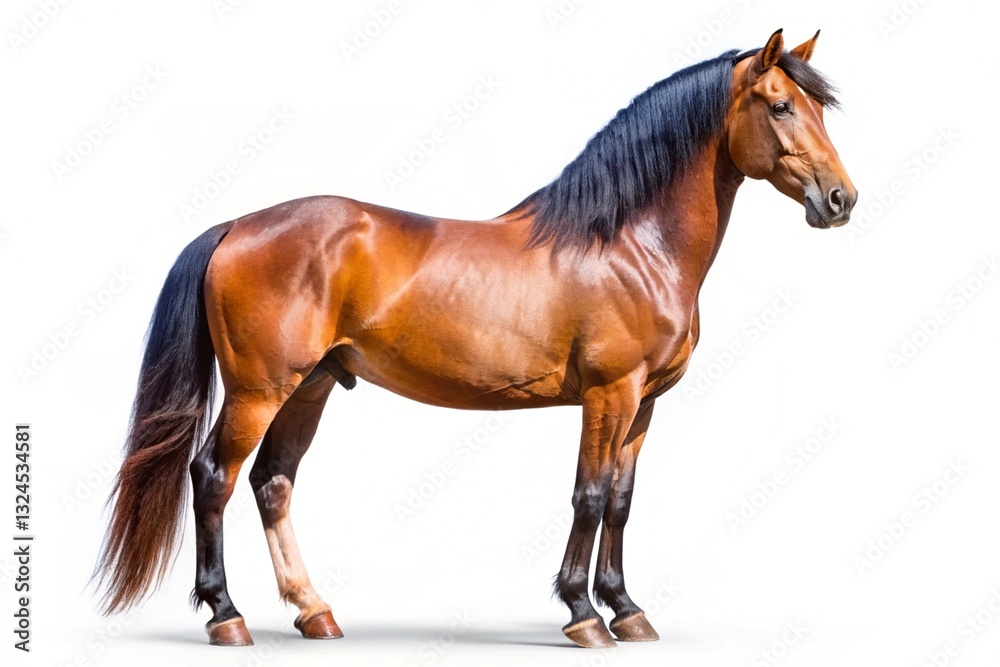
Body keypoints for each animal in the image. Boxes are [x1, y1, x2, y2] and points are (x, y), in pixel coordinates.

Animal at [94, 29, 856, 649]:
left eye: (818, 108)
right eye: (780, 106)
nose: (841, 199)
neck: (630, 243)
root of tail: (235, 226)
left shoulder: (644, 403)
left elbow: (621, 500)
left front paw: (627, 609)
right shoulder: (609, 394)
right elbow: (588, 494)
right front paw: (582, 612)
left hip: (309, 387)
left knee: (272, 482)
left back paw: (315, 611)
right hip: (259, 390)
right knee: (213, 478)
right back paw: (227, 615)